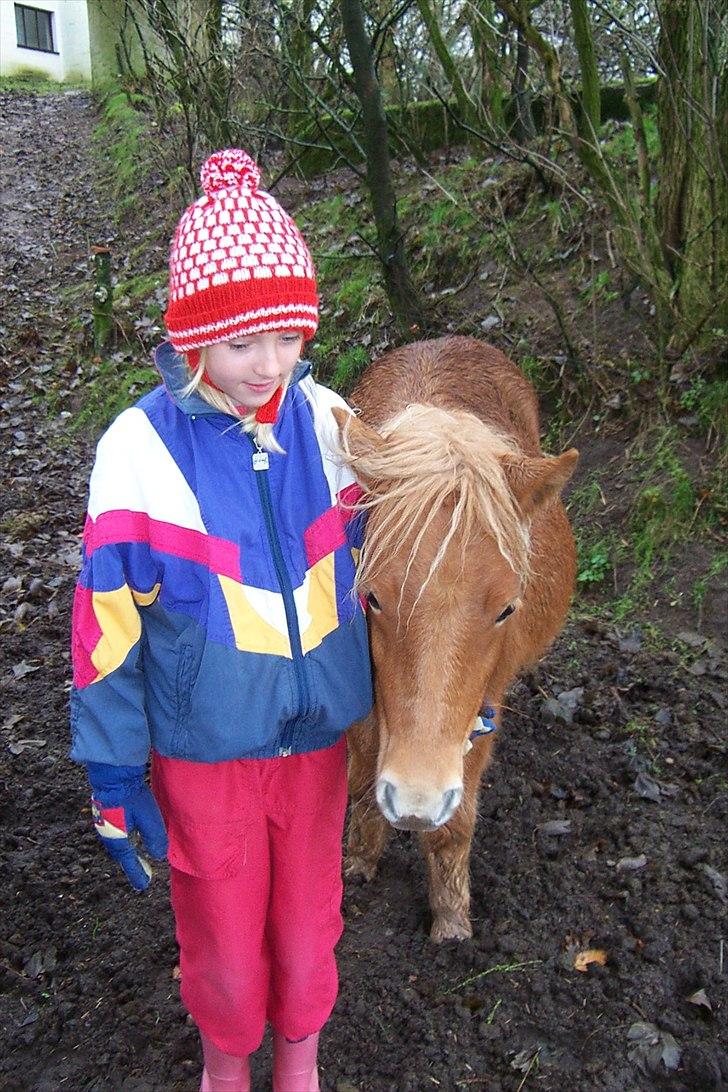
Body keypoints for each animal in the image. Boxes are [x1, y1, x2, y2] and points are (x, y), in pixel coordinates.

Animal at [336, 336, 580, 943]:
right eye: (372, 598)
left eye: (507, 610)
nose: (415, 801)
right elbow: (363, 772)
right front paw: (360, 860)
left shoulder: (484, 702)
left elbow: (454, 824)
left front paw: (451, 922)